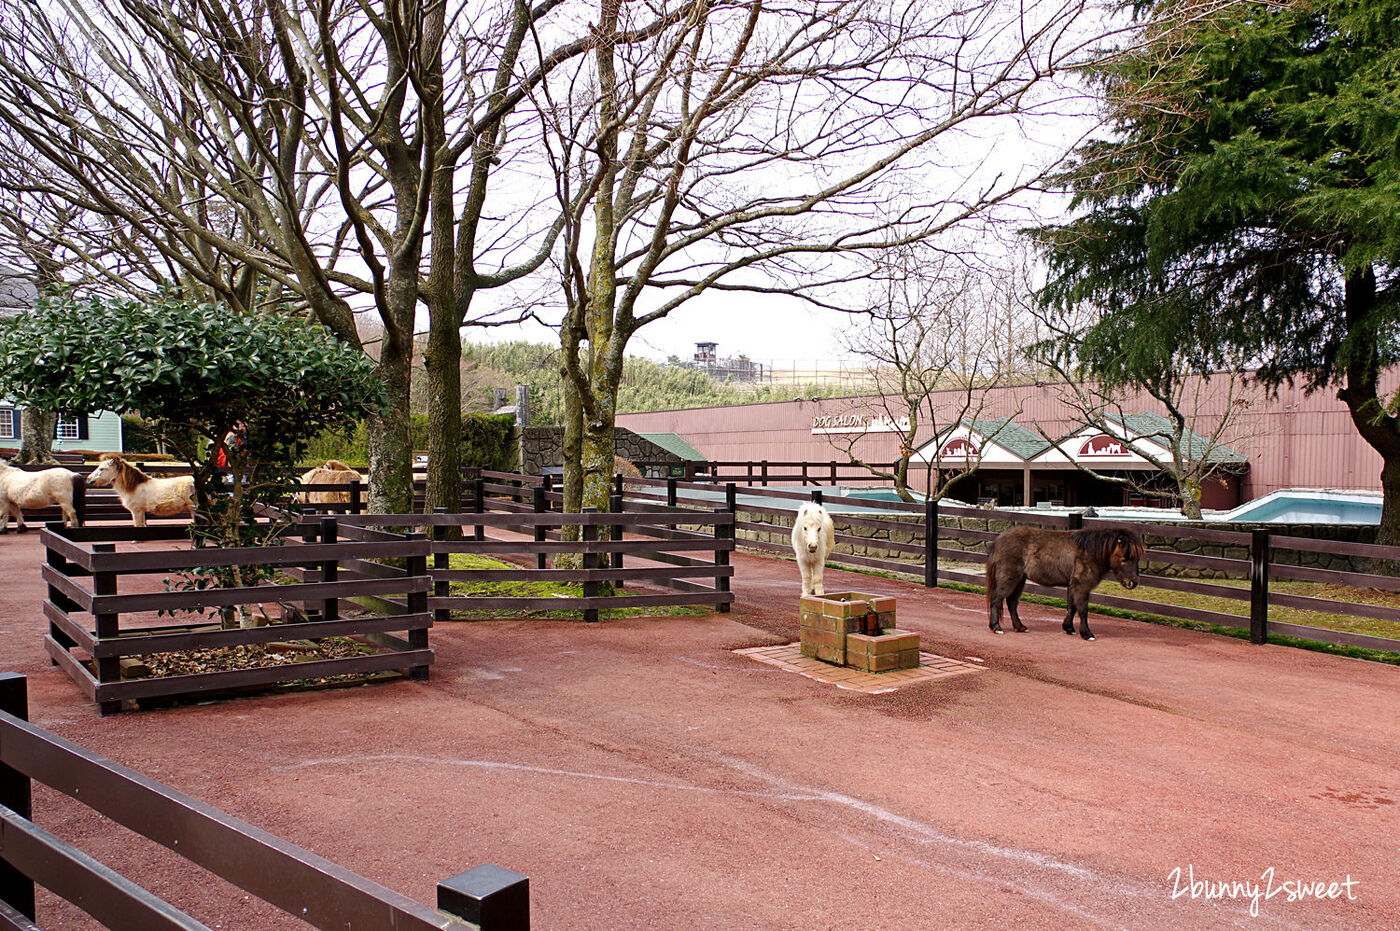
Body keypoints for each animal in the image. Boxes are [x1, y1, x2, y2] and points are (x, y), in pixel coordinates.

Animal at [991, 526, 1142, 644]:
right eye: (1124, 559)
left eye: (1137, 559)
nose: (1132, 583)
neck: (1088, 552)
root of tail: (998, 540)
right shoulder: (1081, 586)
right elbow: (1082, 610)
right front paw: (1087, 634)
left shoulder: (1074, 586)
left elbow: (1072, 608)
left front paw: (1068, 628)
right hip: (1010, 578)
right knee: (996, 599)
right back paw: (996, 627)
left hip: (1020, 580)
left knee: (1011, 602)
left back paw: (1020, 627)